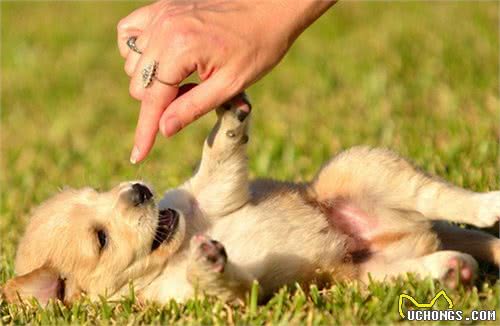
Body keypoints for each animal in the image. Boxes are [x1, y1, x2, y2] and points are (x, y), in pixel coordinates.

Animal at [3, 95, 500, 304]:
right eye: (101, 239)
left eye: (99, 192)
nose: (138, 190)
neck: (175, 250)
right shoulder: (211, 300)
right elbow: (226, 286)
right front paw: (209, 264)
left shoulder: (208, 195)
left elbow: (218, 158)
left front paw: (229, 116)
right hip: (362, 278)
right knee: (428, 260)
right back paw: (451, 269)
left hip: (358, 168)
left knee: (438, 197)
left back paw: (487, 206)